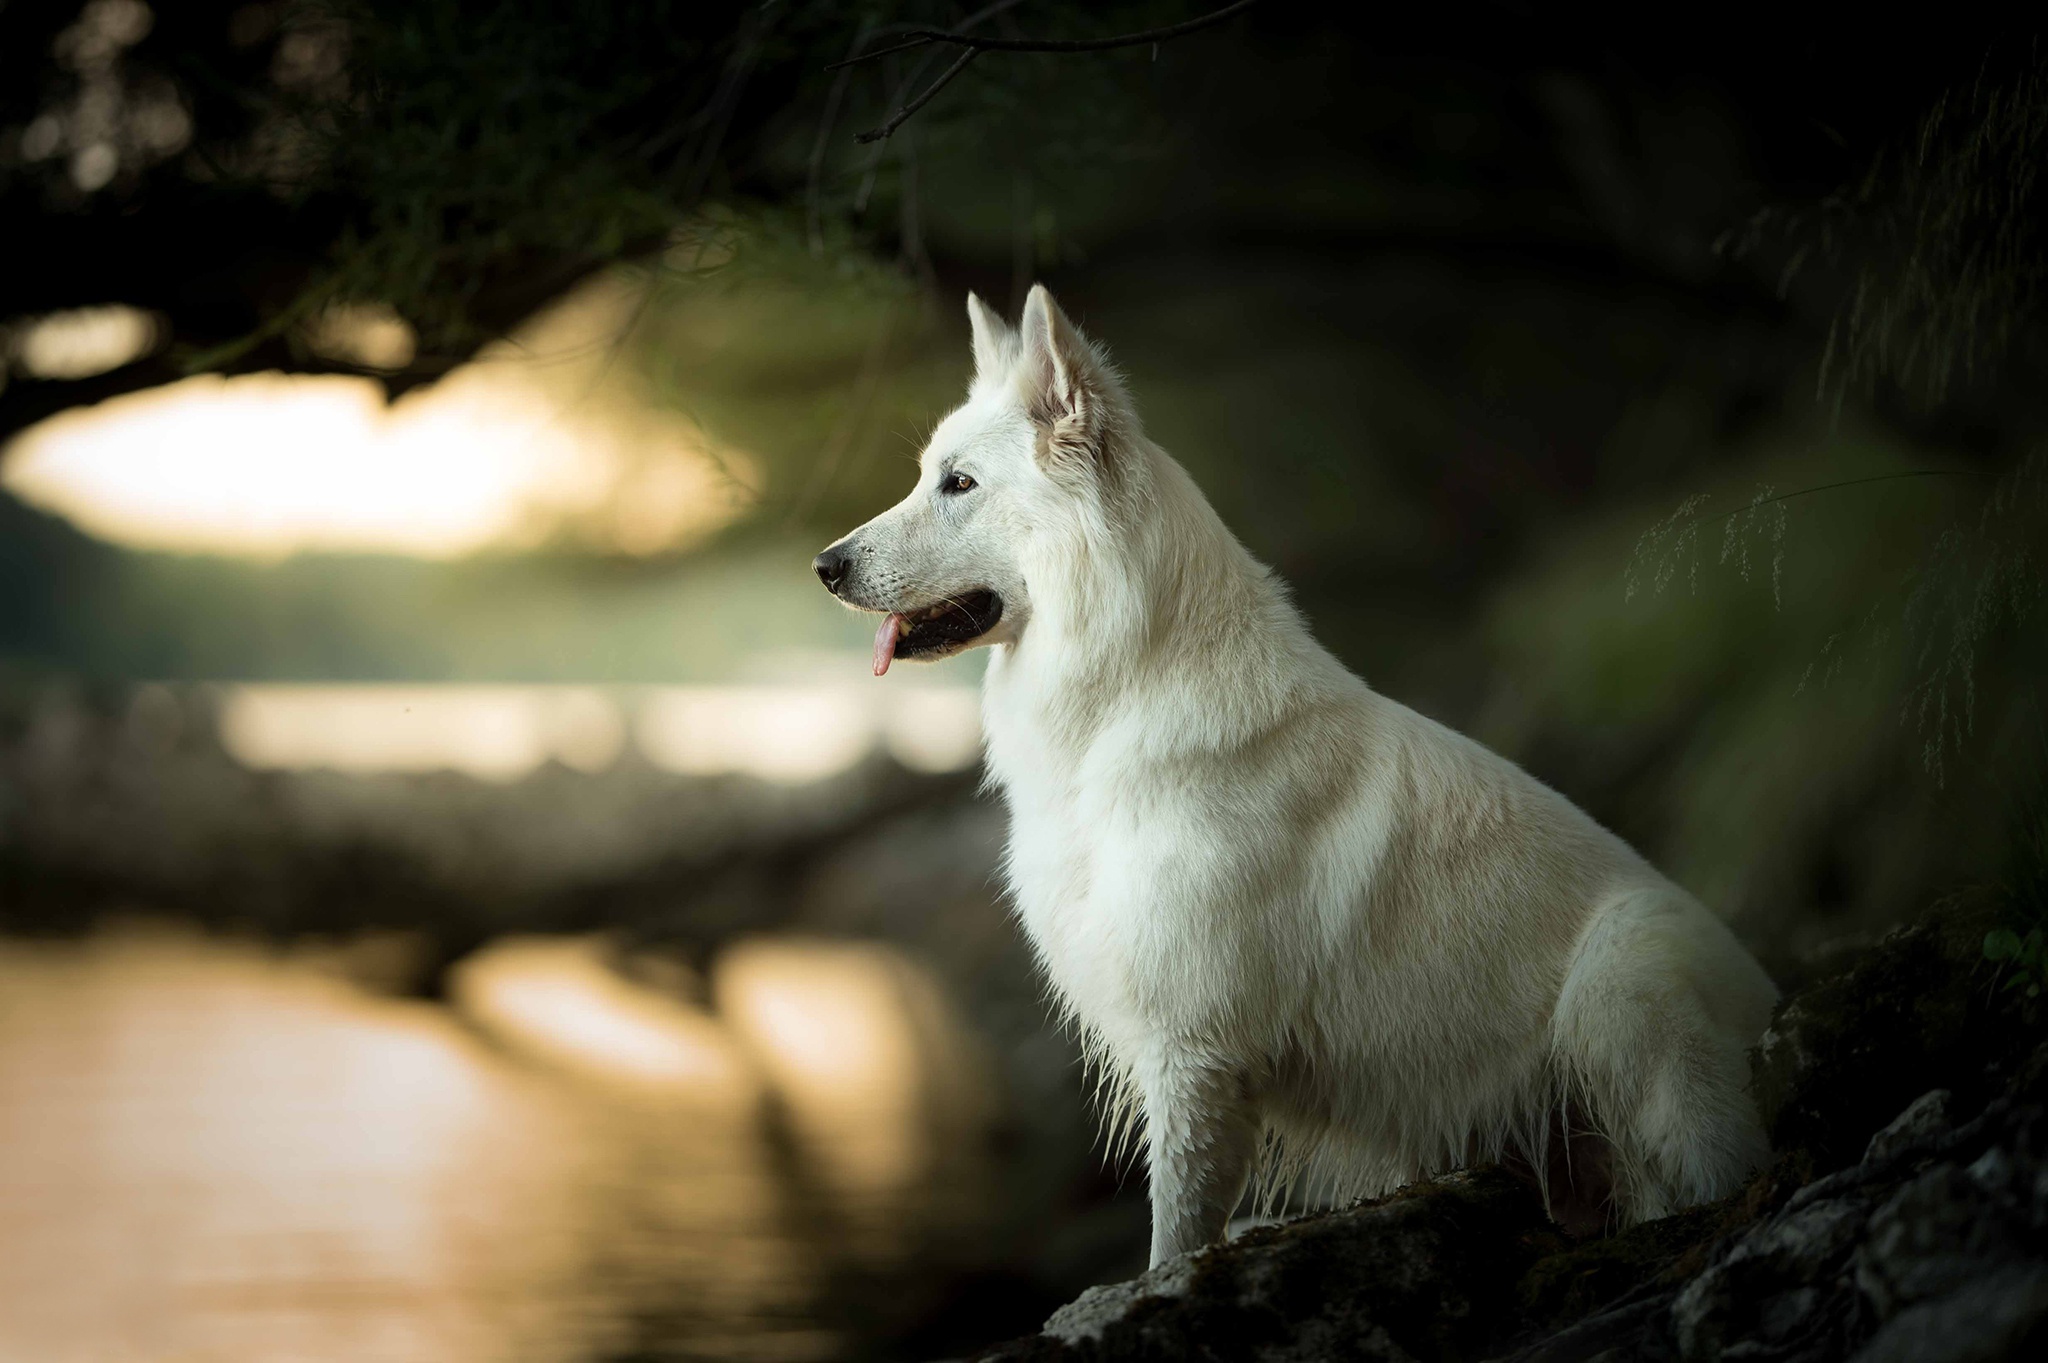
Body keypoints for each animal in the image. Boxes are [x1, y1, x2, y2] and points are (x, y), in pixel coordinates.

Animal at [811, 284, 1777, 1260]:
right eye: (928, 476)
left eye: (959, 484)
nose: (825, 565)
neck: (1127, 694)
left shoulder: (1196, 1056)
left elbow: (1175, 1235)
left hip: (1622, 977)